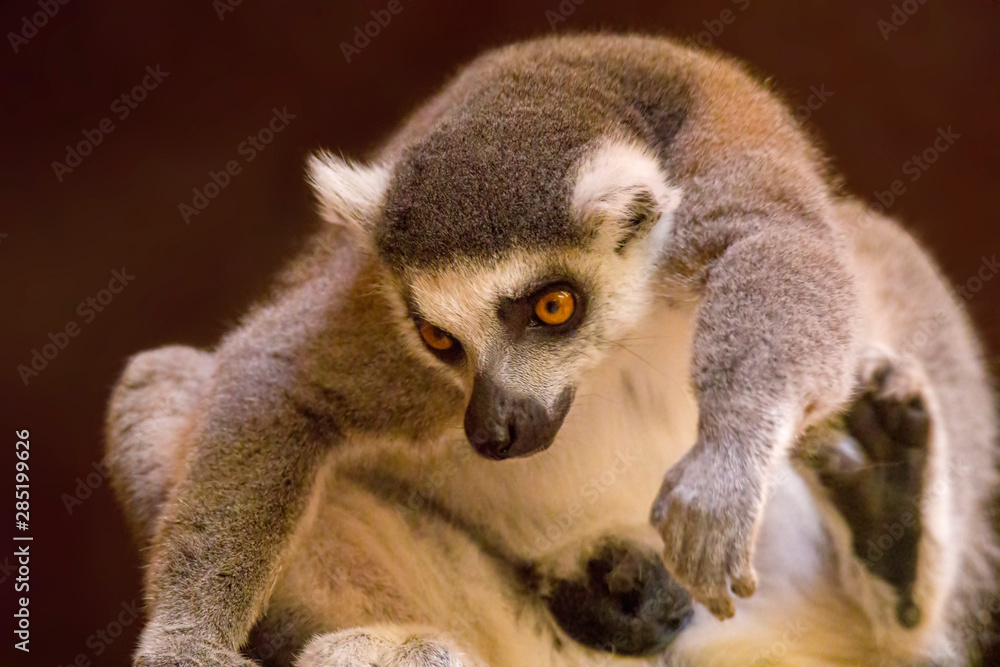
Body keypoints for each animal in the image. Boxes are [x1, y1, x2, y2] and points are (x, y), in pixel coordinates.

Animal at [105, 34, 999, 666]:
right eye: (438, 336)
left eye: (552, 306)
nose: (492, 428)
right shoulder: (376, 311)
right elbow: (283, 379)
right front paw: (187, 640)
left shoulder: (718, 176)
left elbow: (779, 250)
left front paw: (726, 463)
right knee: (164, 387)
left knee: (880, 254)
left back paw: (890, 527)